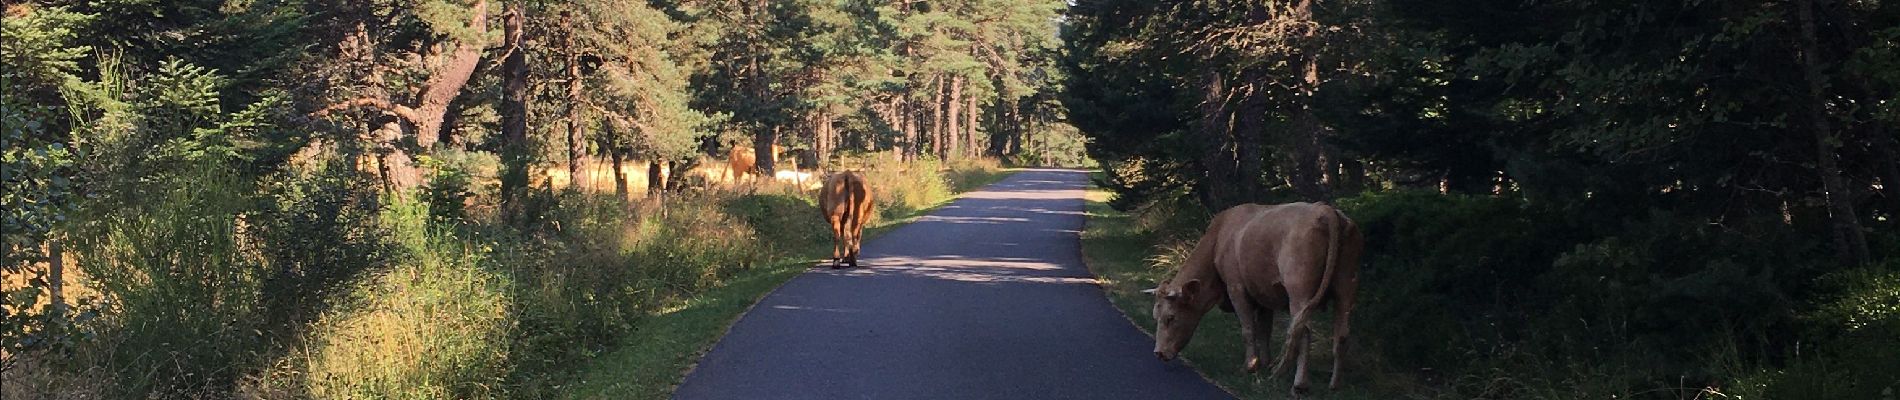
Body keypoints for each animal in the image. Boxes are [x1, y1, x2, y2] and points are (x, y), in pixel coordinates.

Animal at [1147, 202, 1360, 396]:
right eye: (1155, 317)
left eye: (1171, 317)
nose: (1158, 352)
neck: (1219, 238)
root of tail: (1325, 209)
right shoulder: (1264, 295)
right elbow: (1264, 330)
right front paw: (1265, 363)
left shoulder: (1236, 288)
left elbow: (1248, 329)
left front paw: (1249, 366)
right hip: (1345, 286)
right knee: (1341, 334)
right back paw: (1334, 384)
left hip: (1299, 291)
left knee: (1303, 330)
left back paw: (1299, 384)